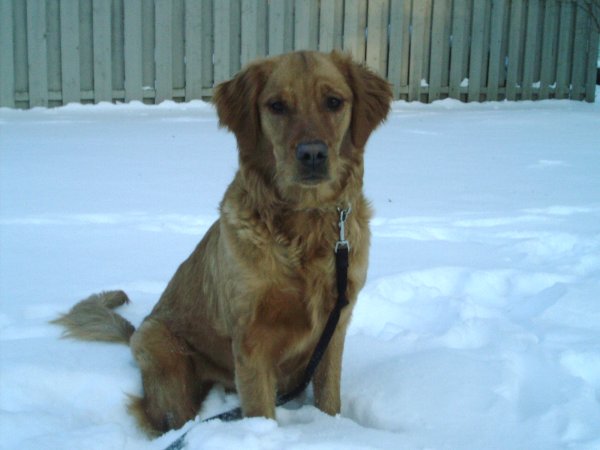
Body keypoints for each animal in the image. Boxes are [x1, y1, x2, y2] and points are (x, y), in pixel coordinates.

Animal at [52, 50, 394, 436]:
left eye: (334, 102)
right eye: (277, 106)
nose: (312, 155)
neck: (305, 224)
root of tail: (137, 329)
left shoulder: (334, 328)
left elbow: (329, 400)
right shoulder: (252, 339)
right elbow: (260, 412)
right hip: (168, 362)